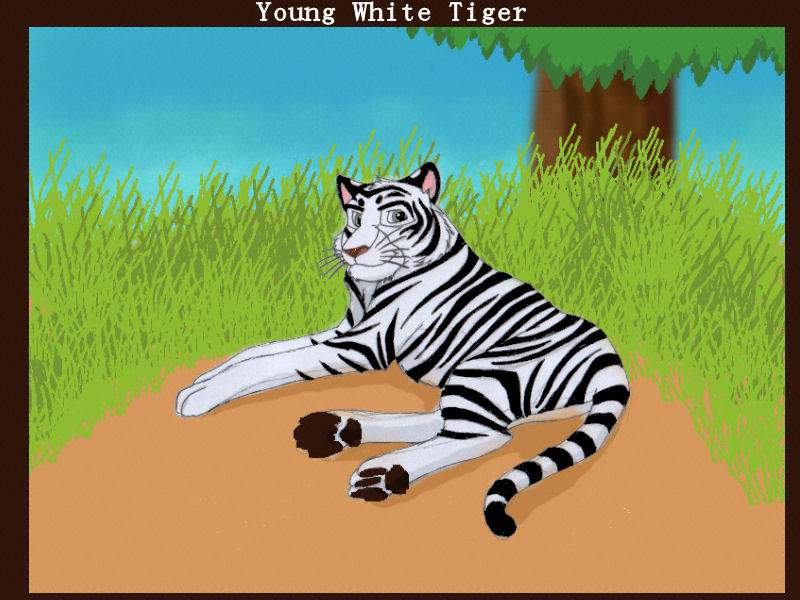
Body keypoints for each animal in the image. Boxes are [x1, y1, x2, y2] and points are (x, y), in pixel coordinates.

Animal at [175, 162, 630, 538]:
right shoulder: (342, 330)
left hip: (484, 369)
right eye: (355, 216)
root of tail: (609, 357)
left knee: (485, 436)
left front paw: (199, 397)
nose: (354, 250)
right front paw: (200, 383)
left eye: (395, 217)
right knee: (445, 421)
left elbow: (273, 363)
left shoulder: (360, 344)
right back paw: (340, 429)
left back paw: (382, 473)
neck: (369, 283)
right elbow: (257, 353)